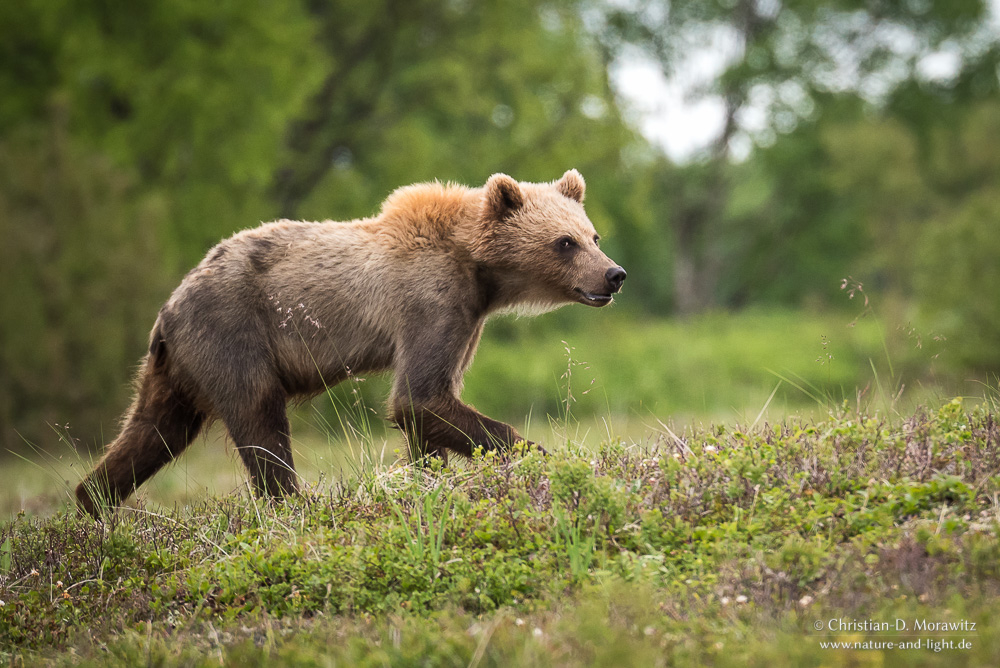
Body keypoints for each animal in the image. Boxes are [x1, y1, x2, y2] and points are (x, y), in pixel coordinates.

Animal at [76, 170, 624, 520]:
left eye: (593, 235)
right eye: (565, 242)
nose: (614, 274)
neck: (479, 271)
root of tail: (169, 307)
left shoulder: (467, 320)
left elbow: (429, 407)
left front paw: (431, 475)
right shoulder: (431, 302)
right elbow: (419, 397)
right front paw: (546, 458)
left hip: (175, 368)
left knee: (155, 430)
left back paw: (93, 502)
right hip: (231, 333)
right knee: (258, 416)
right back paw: (295, 503)